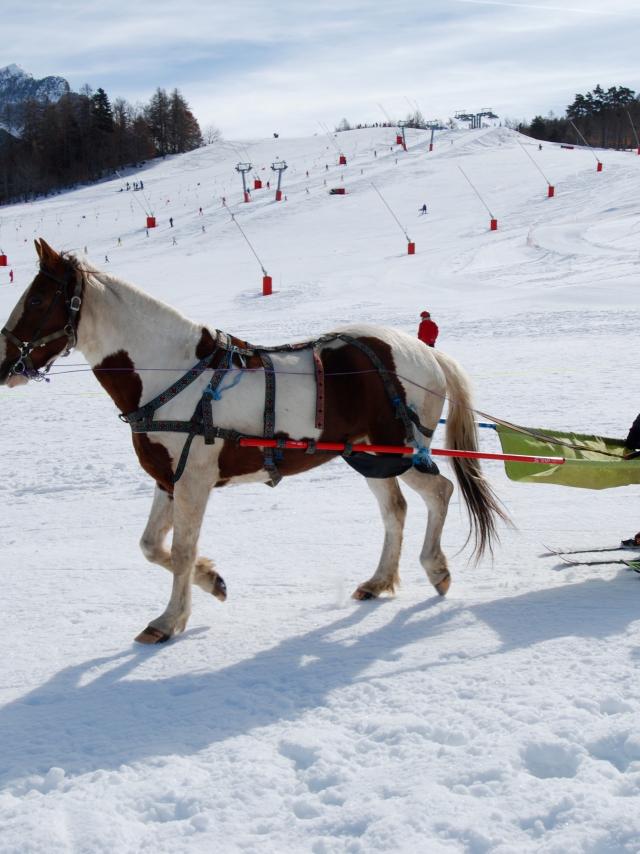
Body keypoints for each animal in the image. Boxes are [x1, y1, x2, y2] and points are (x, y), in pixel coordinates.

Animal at [1, 239, 510, 640]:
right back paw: (379, 580)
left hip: (403, 450)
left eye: (38, 299)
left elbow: (180, 550)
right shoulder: (168, 479)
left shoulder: (194, 480)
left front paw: (170, 620)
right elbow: (151, 546)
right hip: (370, 454)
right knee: (396, 510)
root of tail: (425, 351)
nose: (5, 364)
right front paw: (212, 580)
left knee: (440, 491)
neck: (169, 371)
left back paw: (436, 568)